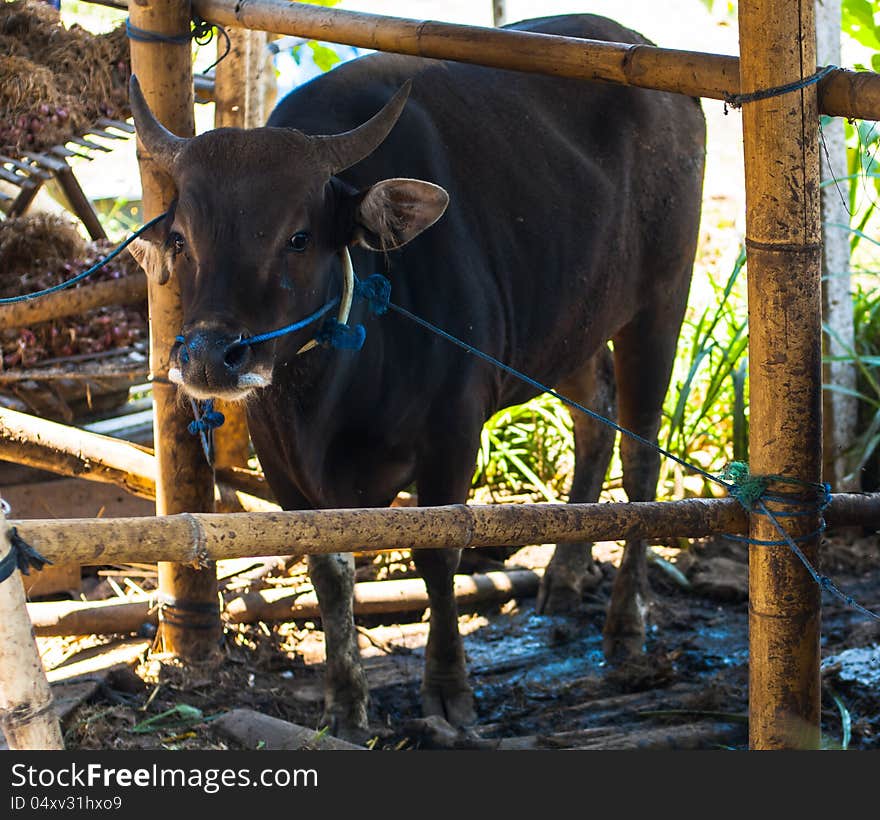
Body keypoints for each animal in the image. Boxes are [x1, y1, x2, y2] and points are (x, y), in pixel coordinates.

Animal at [127, 14, 708, 744]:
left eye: (297, 236)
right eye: (181, 238)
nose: (209, 356)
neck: (330, 394)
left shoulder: (452, 435)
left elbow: (438, 555)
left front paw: (448, 690)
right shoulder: (286, 466)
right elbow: (327, 570)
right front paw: (344, 704)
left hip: (661, 301)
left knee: (640, 458)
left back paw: (626, 625)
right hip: (571, 324)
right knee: (592, 422)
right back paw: (565, 575)